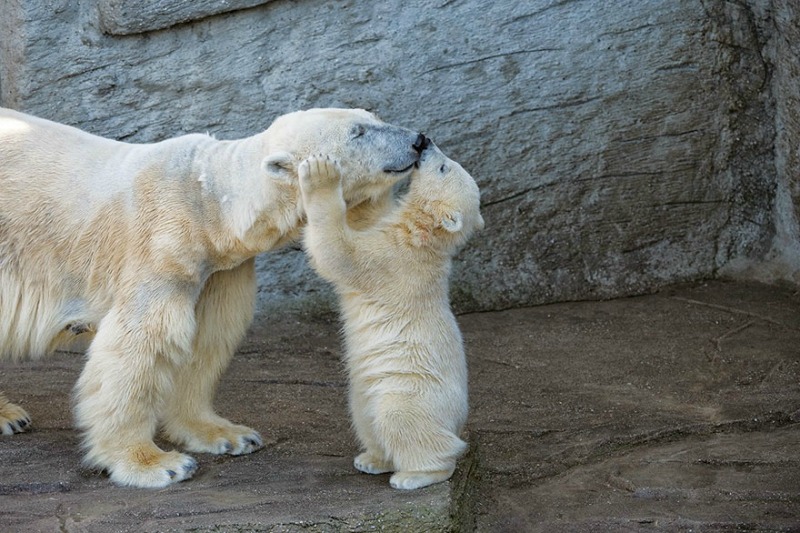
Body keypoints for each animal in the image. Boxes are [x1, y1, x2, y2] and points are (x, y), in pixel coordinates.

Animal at [0, 107, 428, 486]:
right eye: (358, 132)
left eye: (373, 116)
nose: (419, 139)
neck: (208, 201)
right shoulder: (161, 246)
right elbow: (140, 343)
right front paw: (156, 463)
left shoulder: (219, 267)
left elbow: (207, 337)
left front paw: (228, 434)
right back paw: (10, 415)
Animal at [298, 142, 482, 490]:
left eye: (444, 168)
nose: (426, 142)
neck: (423, 236)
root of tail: (456, 422)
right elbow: (365, 217)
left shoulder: (392, 261)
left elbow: (339, 253)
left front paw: (321, 173)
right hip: (365, 390)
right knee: (364, 415)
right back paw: (371, 459)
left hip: (412, 392)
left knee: (401, 421)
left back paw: (414, 475)